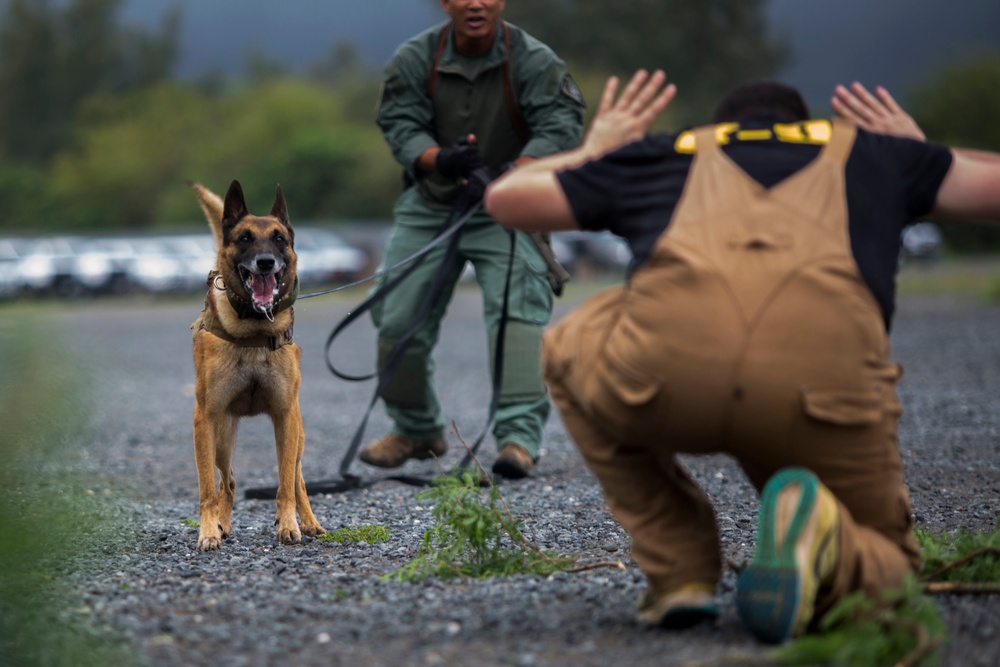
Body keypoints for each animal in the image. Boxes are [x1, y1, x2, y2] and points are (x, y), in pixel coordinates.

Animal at [190, 180, 324, 552]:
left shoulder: (284, 418)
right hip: (221, 438)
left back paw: (309, 521)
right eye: (245, 238)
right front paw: (208, 531)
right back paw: (222, 523)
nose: (266, 262)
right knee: (229, 481)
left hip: (297, 434)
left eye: (279, 238)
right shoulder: (205, 421)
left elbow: (285, 484)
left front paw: (289, 525)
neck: (254, 326)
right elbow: (207, 489)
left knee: (298, 479)